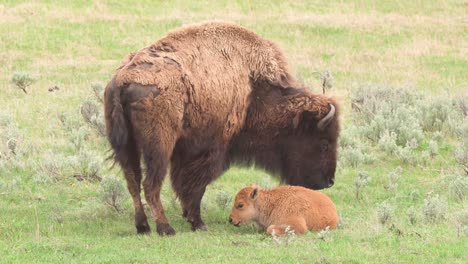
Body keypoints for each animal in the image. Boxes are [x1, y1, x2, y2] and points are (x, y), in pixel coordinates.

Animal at [104, 21, 340, 235]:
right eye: (323, 143)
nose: (329, 182)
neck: (254, 90)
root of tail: (122, 80)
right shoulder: (211, 151)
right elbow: (195, 186)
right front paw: (198, 223)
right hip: (159, 147)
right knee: (150, 185)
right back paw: (165, 228)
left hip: (126, 146)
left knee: (133, 181)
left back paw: (143, 226)